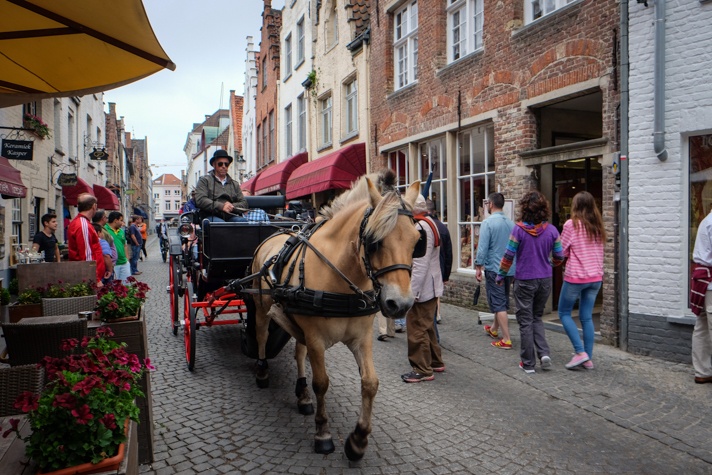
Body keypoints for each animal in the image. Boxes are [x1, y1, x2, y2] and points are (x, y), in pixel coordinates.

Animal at [249, 174, 420, 462]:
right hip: (262, 306)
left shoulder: (361, 338)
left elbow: (370, 383)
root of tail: (278, 232)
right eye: (374, 241)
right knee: (261, 335)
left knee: (298, 352)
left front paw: (358, 440)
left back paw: (302, 395)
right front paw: (323, 434)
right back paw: (262, 372)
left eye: (417, 240)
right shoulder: (317, 339)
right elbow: (322, 383)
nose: (401, 304)